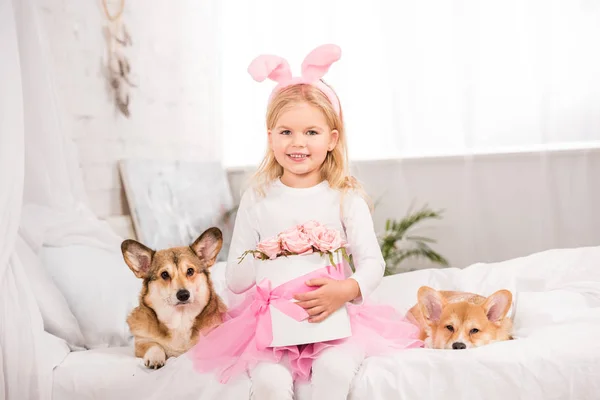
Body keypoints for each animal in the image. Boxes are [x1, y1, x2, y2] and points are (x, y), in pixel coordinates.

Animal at [121, 227, 227, 368]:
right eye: (165, 274)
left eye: (190, 271)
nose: (183, 295)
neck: (180, 319)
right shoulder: (141, 341)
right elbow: (154, 345)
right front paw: (155, 357)